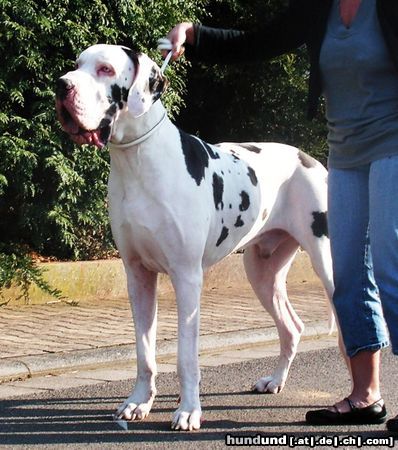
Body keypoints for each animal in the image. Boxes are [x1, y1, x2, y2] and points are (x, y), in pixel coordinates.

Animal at [56, 44, 334, 430]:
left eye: (106, 69)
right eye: (77, 64)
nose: (61, 85)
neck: (138, 160)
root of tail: (308, 157)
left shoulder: (187, 277)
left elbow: (186, 356)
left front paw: (188, 410)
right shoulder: (138, 276)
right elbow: (144, 352)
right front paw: (139, 402)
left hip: (328, 264)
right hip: (262, 272)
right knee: (292, 326)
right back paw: (276, 380)